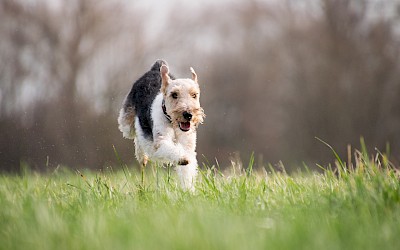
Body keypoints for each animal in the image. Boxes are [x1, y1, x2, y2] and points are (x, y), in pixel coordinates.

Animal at [117, 60, 205, 189]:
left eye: (194, 95)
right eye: (174, 94)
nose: (188, 114)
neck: (173, 124)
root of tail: (155, 67)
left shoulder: (188, 146)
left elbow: (187, 170)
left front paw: (188, 190)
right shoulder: (161, 141)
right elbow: (171, 149)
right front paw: (182, 158)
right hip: (127, 125)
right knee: (136, 135)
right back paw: (142, 156)